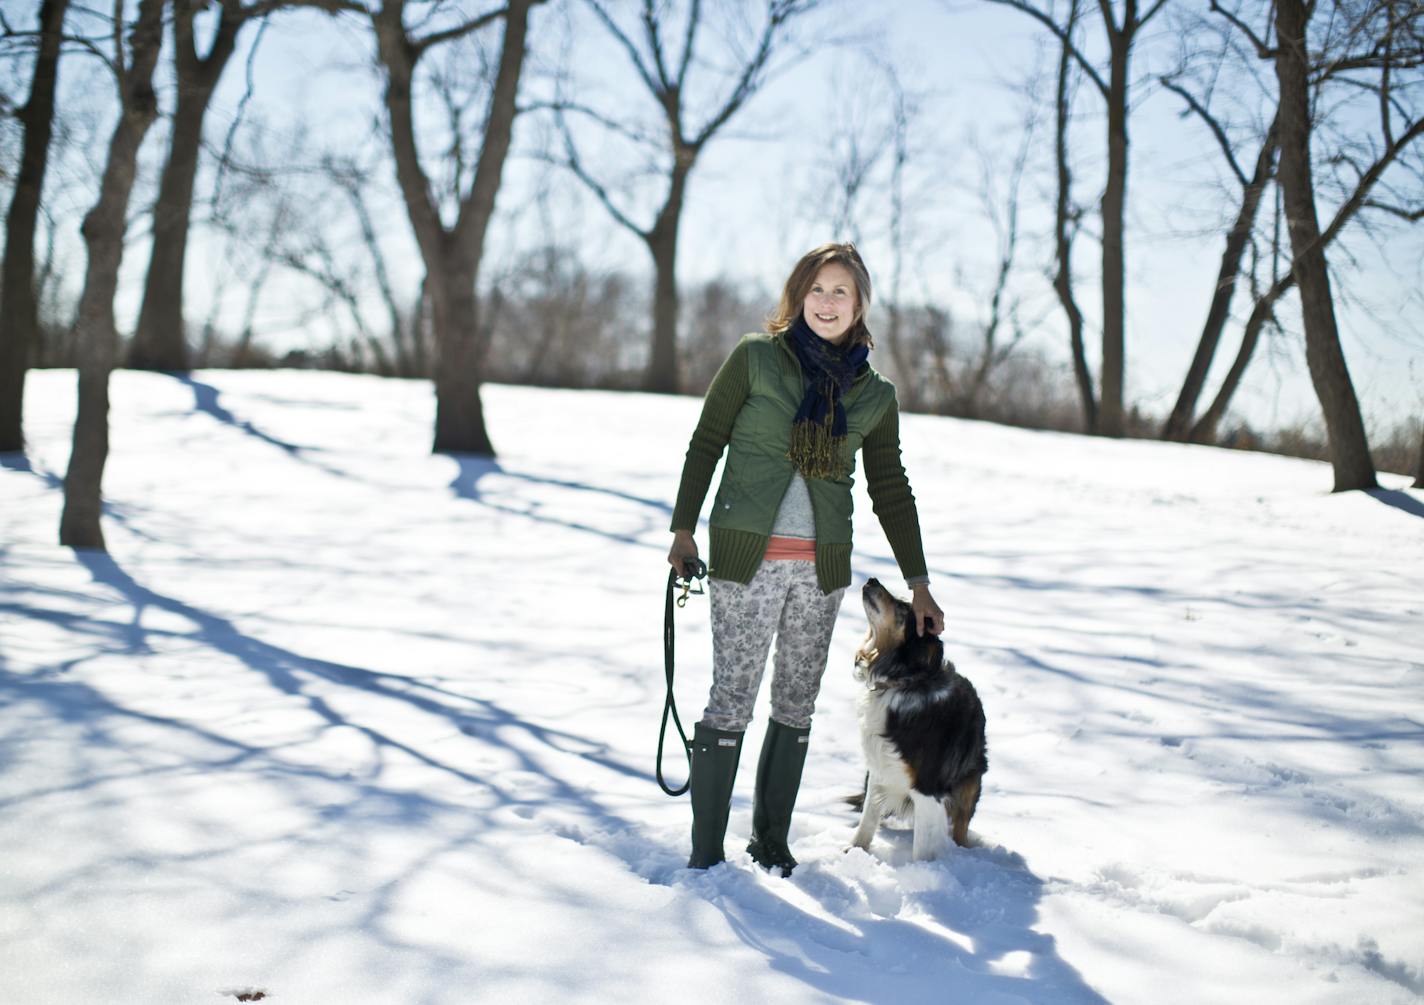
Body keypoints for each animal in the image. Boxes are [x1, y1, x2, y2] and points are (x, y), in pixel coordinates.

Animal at [848, 575, 985, 859]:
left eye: (902, 608)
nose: (872, 579)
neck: (900, 681)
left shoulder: (927, 787)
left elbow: (922, 845)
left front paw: (922, 870)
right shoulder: (879, 767)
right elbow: (867, 819)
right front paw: (853, 852)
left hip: (970, 781)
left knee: (961, 825)